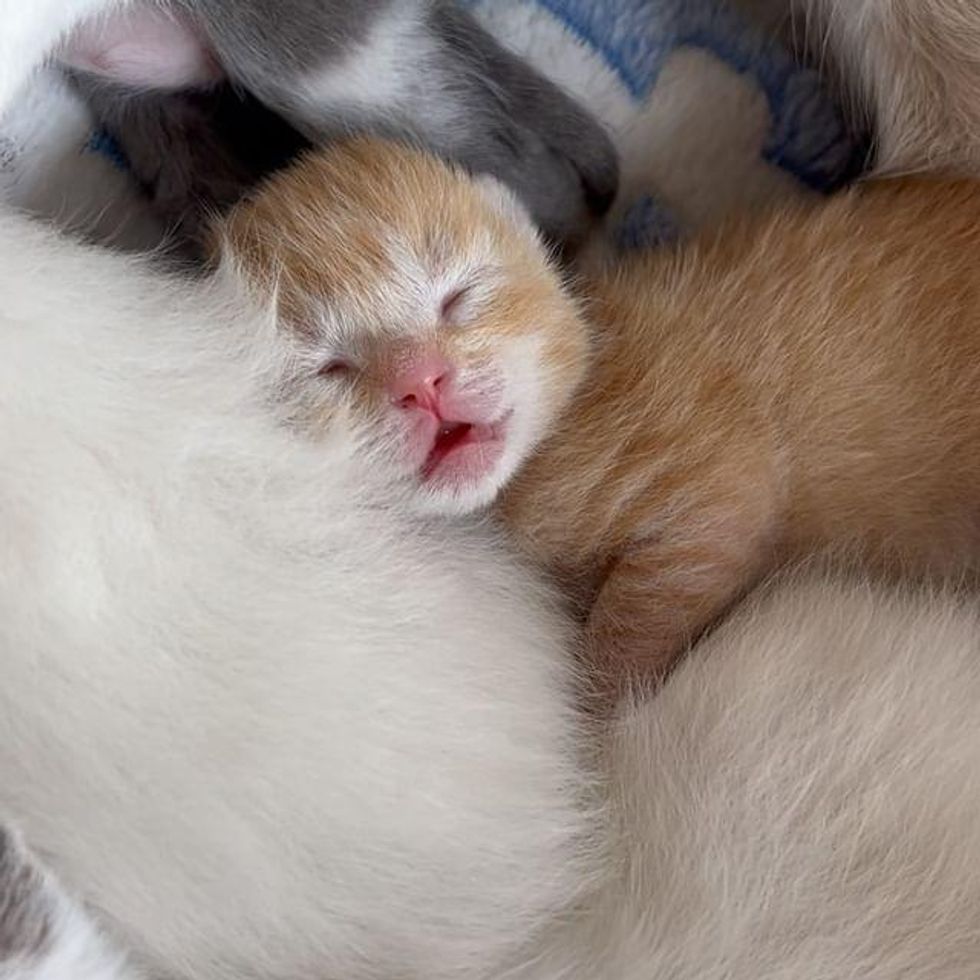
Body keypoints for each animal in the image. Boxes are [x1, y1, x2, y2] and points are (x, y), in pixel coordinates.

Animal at [216, 138, 980, 688]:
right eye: (330, 367)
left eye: (458, 296)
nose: (421, 382)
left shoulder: (714, 485)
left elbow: (636, 623)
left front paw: (602, 721)